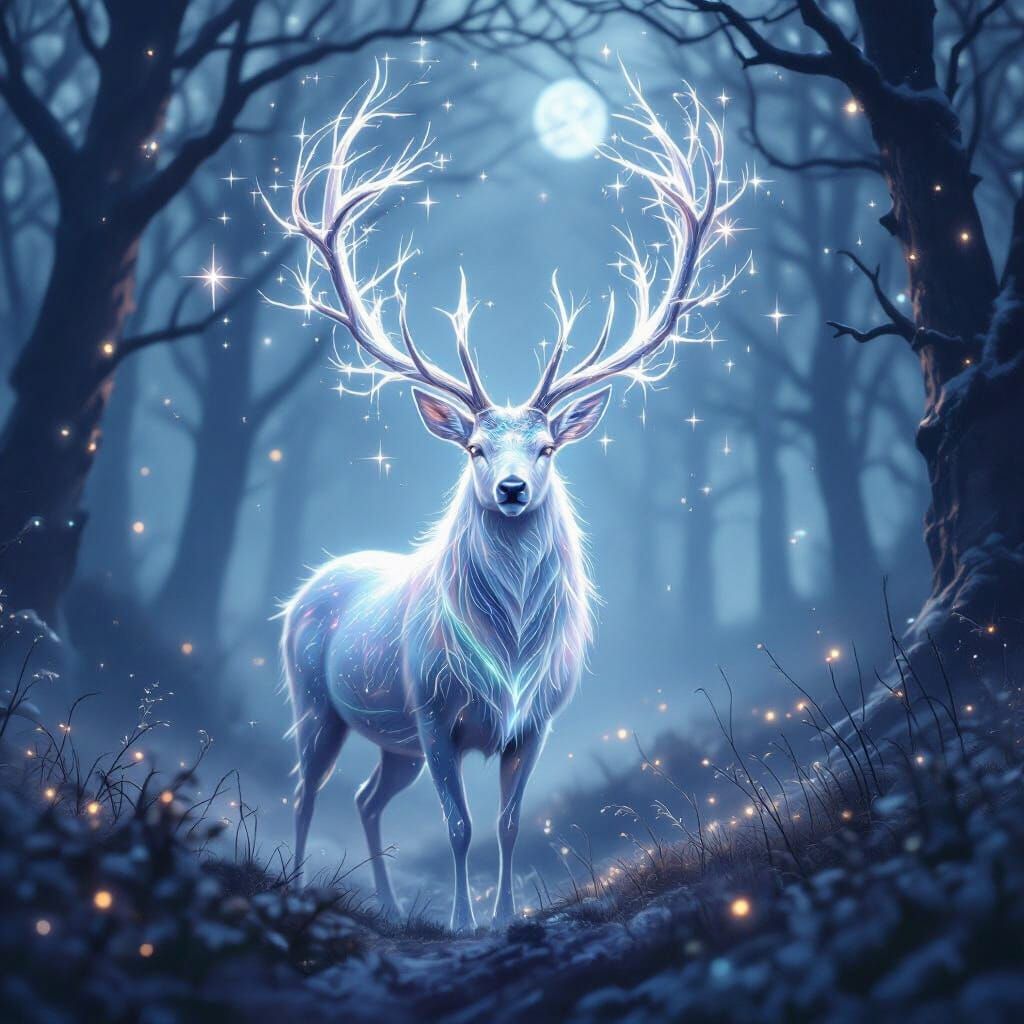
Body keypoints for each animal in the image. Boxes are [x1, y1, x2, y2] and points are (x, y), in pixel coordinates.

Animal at [264, 63, 745, 931]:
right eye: (476, 448)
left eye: (548, 447)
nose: (514, 488)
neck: (509, 656)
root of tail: (308, 586)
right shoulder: (433, 712)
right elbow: (457, 825)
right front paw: (461, 923)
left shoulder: (538, 719)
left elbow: (510, 822)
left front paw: (503, 917)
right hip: (315, 701)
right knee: (307, 791)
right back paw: (298, 879)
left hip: (389, 744)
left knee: (367, 797)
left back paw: (391, 906)